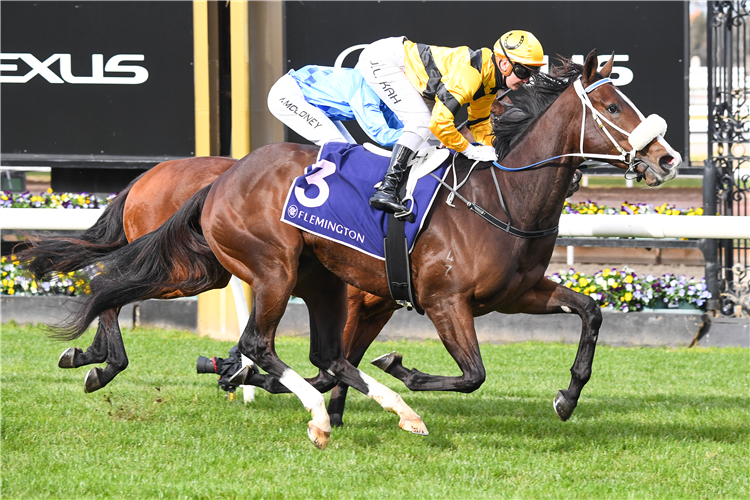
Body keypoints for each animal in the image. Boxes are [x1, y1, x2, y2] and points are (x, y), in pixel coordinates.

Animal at [48, 52, 680, 452]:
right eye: (614, 107)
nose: (669, 159)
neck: (501, 196)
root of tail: (223, 180)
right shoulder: (444, 301)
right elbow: (471, 373)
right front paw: (403, 371)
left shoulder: (517, 292)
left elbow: (590, 312)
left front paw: (567, 396)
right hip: (268, 269)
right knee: (253, 339)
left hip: (251, 273)